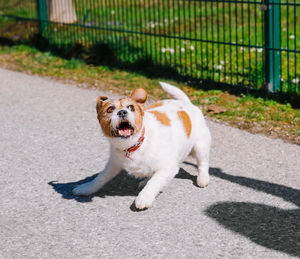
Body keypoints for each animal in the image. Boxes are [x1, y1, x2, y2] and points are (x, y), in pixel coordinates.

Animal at [72, 82, 211, 210]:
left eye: (131, 107)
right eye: (110, 109)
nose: (122, 112)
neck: (135, 145)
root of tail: (186, 103)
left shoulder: (168, 168)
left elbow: (154, 183)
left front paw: (144, 198)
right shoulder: (113, 165)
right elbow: (100, 178)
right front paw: (86, 188)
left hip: (200, 146)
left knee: (203, 164)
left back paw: (203, 178)